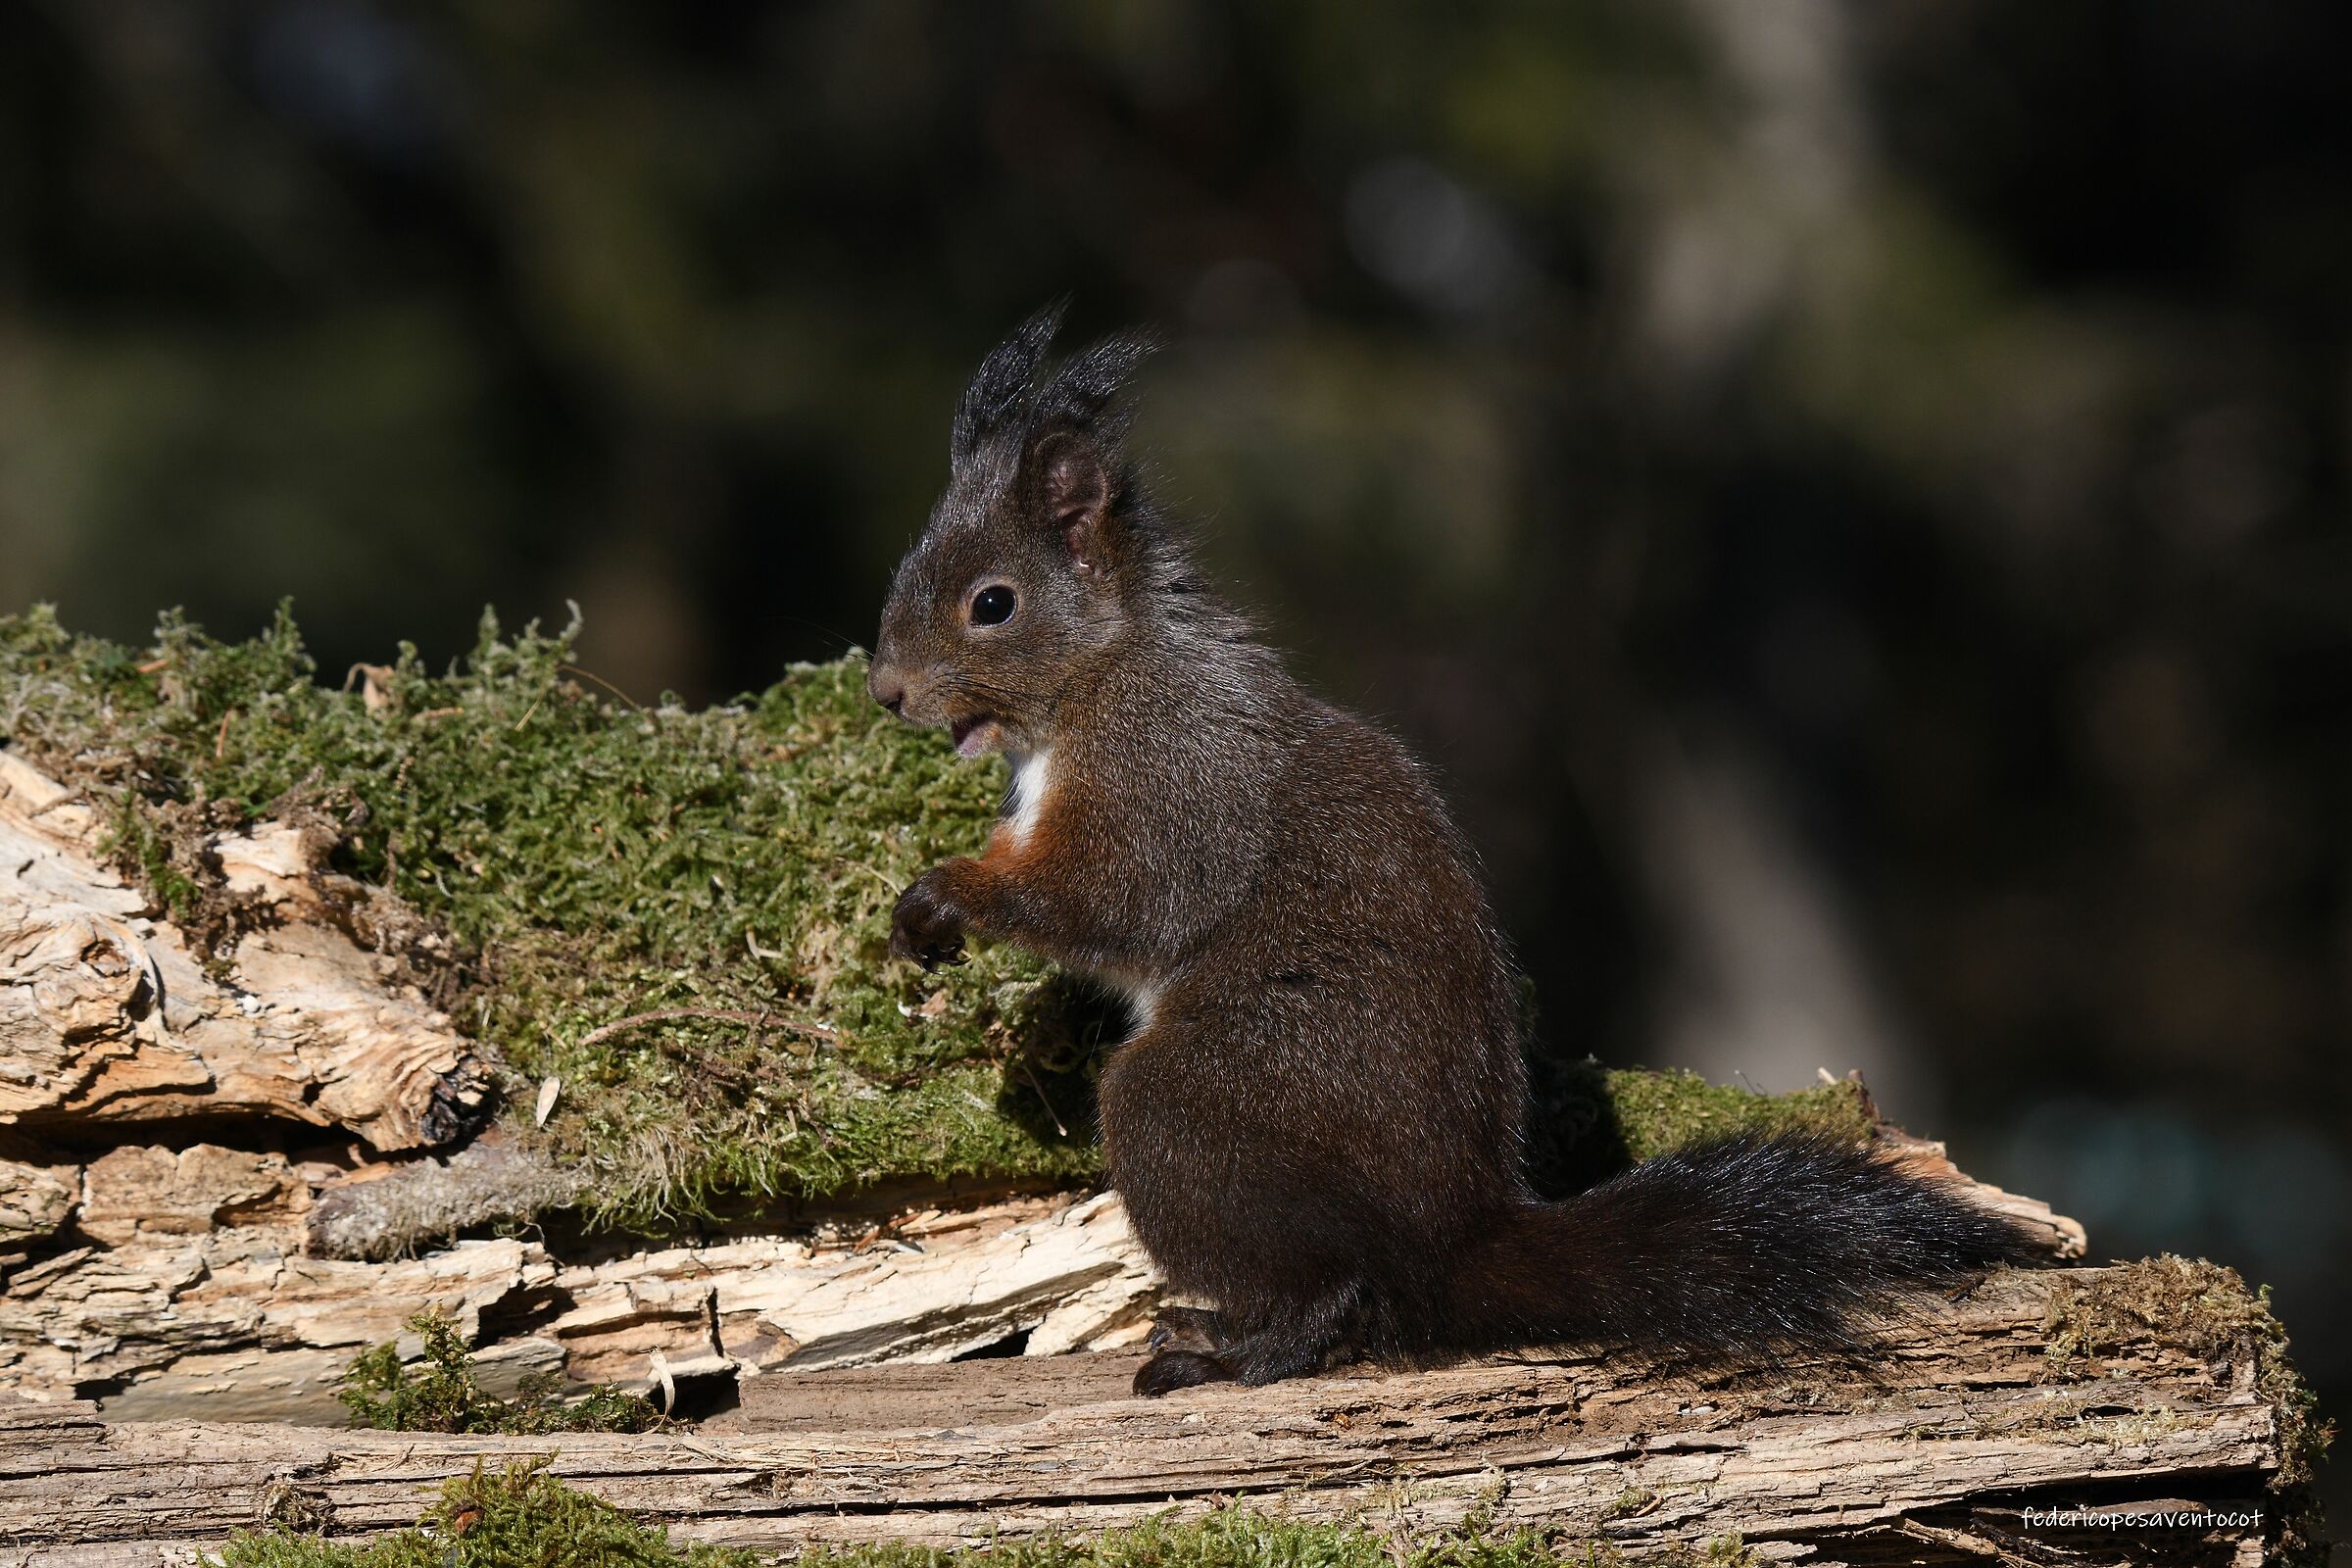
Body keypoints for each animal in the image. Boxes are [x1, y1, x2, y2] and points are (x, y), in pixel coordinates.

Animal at [866, 307, 2040, 1398]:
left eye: (992, 603)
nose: (886, 692)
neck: (1106, 667)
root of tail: (1448, 1238)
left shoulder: (1170, 772)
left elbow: (1120, 893)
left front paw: (950, 895)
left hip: (1203, 1106)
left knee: (1331, 1292)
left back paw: (1227, 1350)